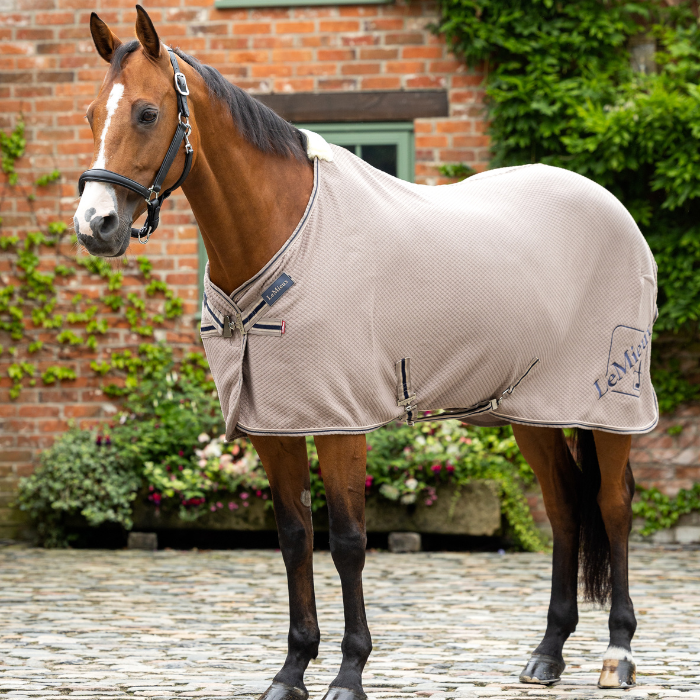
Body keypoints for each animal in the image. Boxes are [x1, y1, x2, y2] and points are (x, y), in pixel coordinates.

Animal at [74, 7, 655, 698]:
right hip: (529, 409)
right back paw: (547, 653)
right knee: (565, 505)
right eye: (90, 114)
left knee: (613, 506)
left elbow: (348, 541)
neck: (286, 233)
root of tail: (611, 206)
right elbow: (294, 537)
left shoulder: (341, 420)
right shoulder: (275, 423)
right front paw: (291, 670)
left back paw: (617, 652)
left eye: (145, 113)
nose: (95, 225)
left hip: (609, 405)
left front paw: (349, 673)